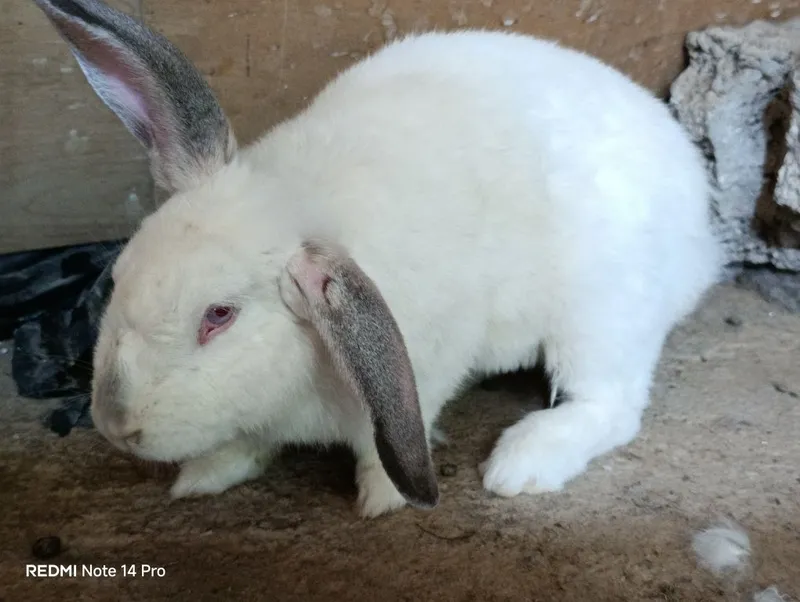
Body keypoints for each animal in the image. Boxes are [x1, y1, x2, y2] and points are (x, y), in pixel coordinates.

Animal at [33, 0, 722, 518]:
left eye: (219, 316)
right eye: (117, 278)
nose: (114, 425)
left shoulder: (429, 369)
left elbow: (381, 442)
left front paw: (382, 496)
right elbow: (244, 444)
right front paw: (204, 475)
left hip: (599, 315)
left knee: (609, 404)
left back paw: (521, 463)